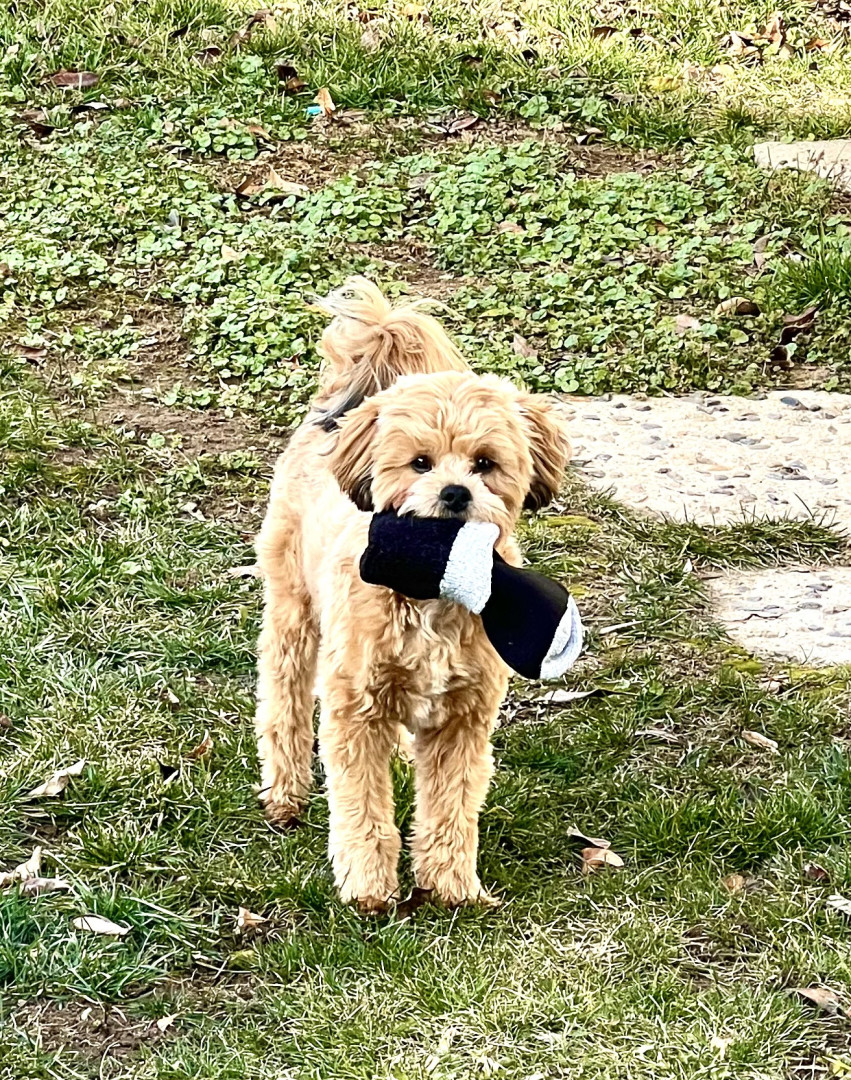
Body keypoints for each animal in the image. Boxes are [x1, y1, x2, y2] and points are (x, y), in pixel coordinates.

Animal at [255, 278, 571, 912]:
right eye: (419, 463)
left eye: (485, 464)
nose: (454, 493)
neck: (430, 593)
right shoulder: (354, 713)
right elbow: (363, 810)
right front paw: (369, 889)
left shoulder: (464, 721)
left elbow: (451, 808)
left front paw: (452, 886)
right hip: (293, 612)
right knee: (284, 700)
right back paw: (285, 792)